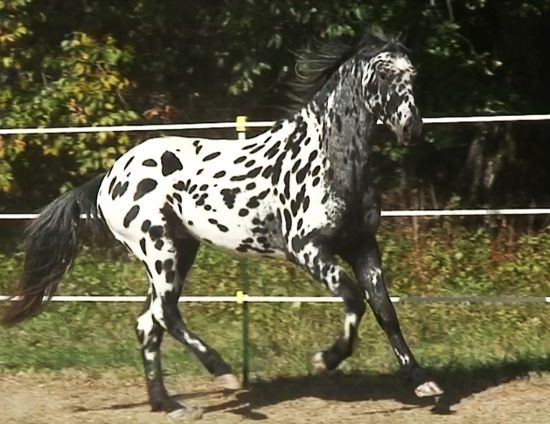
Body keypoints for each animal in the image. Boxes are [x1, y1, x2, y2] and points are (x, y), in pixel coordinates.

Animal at [2, 34, 444, 420]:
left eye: (412, 73)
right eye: (383, 73)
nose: (411, 128)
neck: (330, 160)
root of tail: (110, 177)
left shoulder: (363, 246)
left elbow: (385, 310)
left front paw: (422, 382)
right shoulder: (308, 249)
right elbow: (354, 300)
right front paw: (325, 360)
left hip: (179, 251)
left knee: (149, 322)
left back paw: (170, 405)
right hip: (159, 249)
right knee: (165, 314)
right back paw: (224, 374)